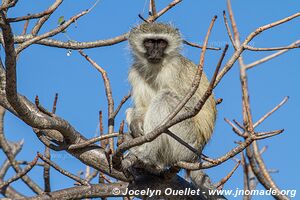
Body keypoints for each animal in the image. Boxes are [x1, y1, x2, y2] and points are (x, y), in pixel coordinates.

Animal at [125, 23, 217, 180]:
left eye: (162, 43)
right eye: (149, 42)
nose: (155, 52)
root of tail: (196, 158)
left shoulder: (175, 69)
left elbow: (191, 104)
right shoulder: (135, 72)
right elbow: (142, 107)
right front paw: (136, 124)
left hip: (186, 143)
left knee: (165, 98)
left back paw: (146, 155)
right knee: (131, 110)